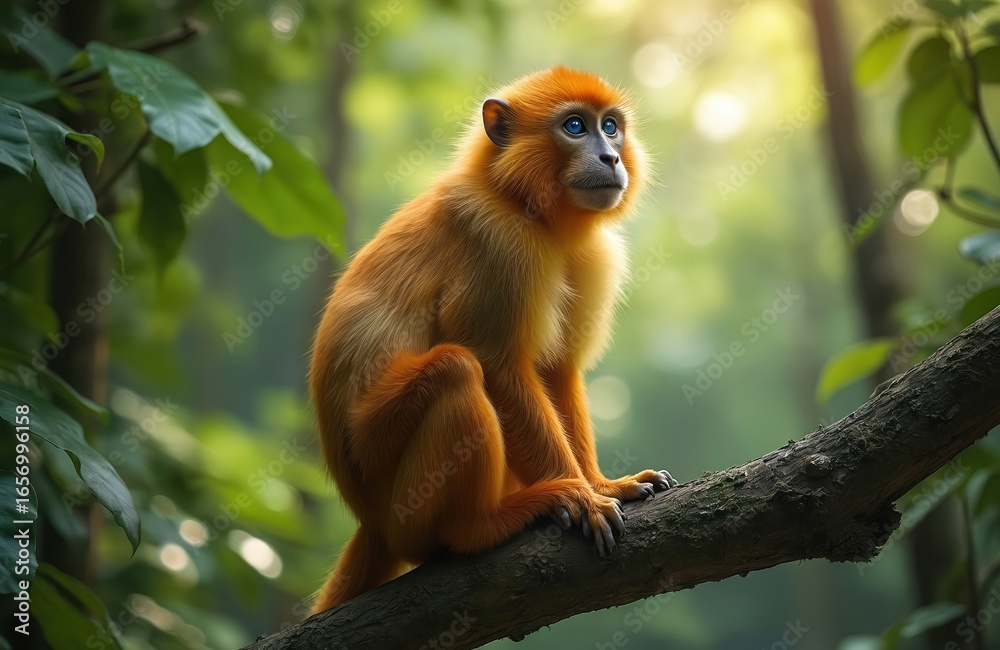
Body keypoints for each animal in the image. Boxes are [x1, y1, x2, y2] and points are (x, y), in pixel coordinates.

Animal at [309, 66, 677, 614]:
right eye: (575, 126)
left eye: (610, 127)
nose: (611, 157)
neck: (524, 203)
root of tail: (371, 523)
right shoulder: (501, 242)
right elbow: (497, 363)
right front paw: (583, 497)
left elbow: (555, 369)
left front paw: (602, 484)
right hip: (392, 490)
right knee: (456, 369)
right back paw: (479, 527)